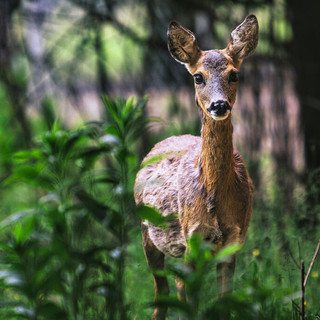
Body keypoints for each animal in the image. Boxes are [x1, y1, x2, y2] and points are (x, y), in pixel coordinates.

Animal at [134, 15, 258, 320]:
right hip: (146, 234)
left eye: (234, 74)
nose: (219, 105)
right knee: (162, 292)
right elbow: (190, 304)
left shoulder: (234, 241)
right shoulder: (191, 240)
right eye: (198, 77)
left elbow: (224, 303)